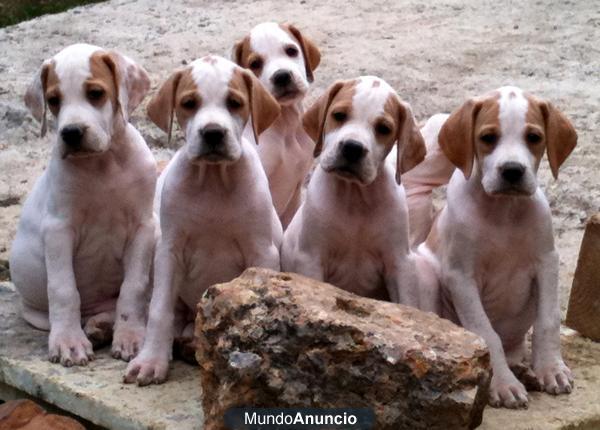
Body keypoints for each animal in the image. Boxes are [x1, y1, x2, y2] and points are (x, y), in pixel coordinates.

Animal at [9, 43, 155, 366]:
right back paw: (94, 327)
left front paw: (131, 336)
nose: (72, 133)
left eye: (96, 93)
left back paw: (105, 325)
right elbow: (63, 289)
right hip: (37, 312)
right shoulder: (58, 230)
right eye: (53, 100)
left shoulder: (143, 228)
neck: (102, 165)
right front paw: (68, 342)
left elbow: (134, 287)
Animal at [125, 54, 284, 386]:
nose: (212, 133)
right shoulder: (169, 251)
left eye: (235, 103)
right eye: (189, 103)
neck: (213, 180)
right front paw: (151, 361)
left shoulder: (261, 251)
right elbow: (159, 310)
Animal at [280, 77, 426, 306]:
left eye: (384, 128)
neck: (355, 197)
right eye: (339, 115)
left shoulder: (400, 262)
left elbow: (407, 303)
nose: (352, 147)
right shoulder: (311, 258)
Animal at [414, 85, 580, 408]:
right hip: (424, 273)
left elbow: (548, 321)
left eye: (534, 137)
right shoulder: (461, 276)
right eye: (488, 137)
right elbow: (485, 334)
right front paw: (502, 384)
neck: (504, 212)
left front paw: (551, 369)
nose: (513, 171)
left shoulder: (547, 261)